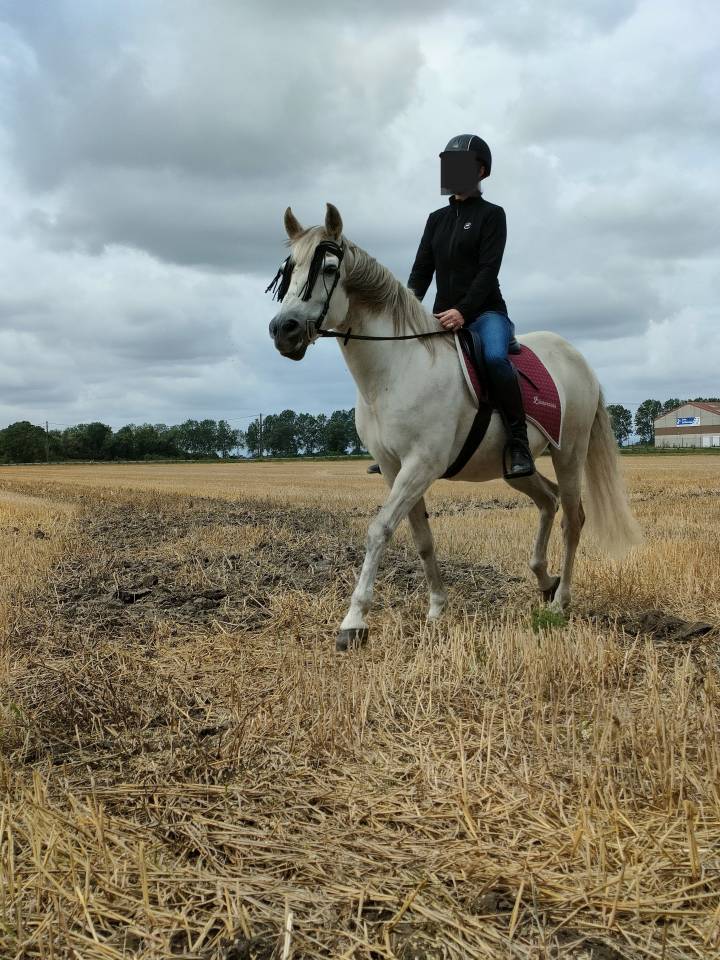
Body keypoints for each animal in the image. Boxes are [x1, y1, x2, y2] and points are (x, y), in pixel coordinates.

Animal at [268, 203, 642, 651]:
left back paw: (559, 602)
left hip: (568, 453)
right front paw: (436, 607)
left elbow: (379, 530)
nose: (283, 330)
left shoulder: (421, 466)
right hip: (515, 469)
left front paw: (353, 622)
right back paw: (543, 580)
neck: (398, 368)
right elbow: (422, 538)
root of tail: (576, 356)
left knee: (573, 518)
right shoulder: (393, 468)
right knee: (548, 502)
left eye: (327, 268)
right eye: (288, 270)